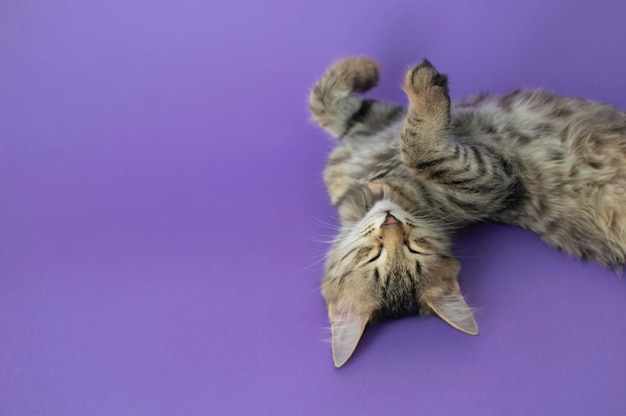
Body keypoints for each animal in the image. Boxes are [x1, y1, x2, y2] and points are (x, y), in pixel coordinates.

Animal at [310, 56, 624, 368]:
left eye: (415, 248)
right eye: (373, 256)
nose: (390, 222)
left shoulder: (374, 128)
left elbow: (328, 104)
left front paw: (364, 68)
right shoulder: (496, 182)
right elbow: (415, 150)